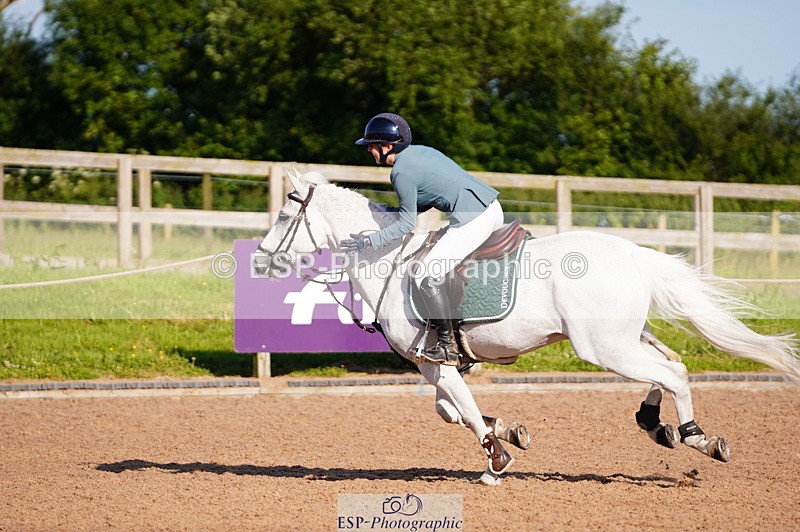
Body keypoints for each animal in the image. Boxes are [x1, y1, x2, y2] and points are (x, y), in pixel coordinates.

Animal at [256, 170, 800, 485]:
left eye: (284, 212)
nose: (261, 260)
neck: (388, 261)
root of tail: (634, 254)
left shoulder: (436, 363)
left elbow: (462, 412)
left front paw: (496, 461)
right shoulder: (437, 366)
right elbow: (449, 411)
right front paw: (511, 432)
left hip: (603, 347)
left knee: (675, 374)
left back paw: (694, 437)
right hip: (626, 338)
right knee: (671, 363)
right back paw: (659, 425)